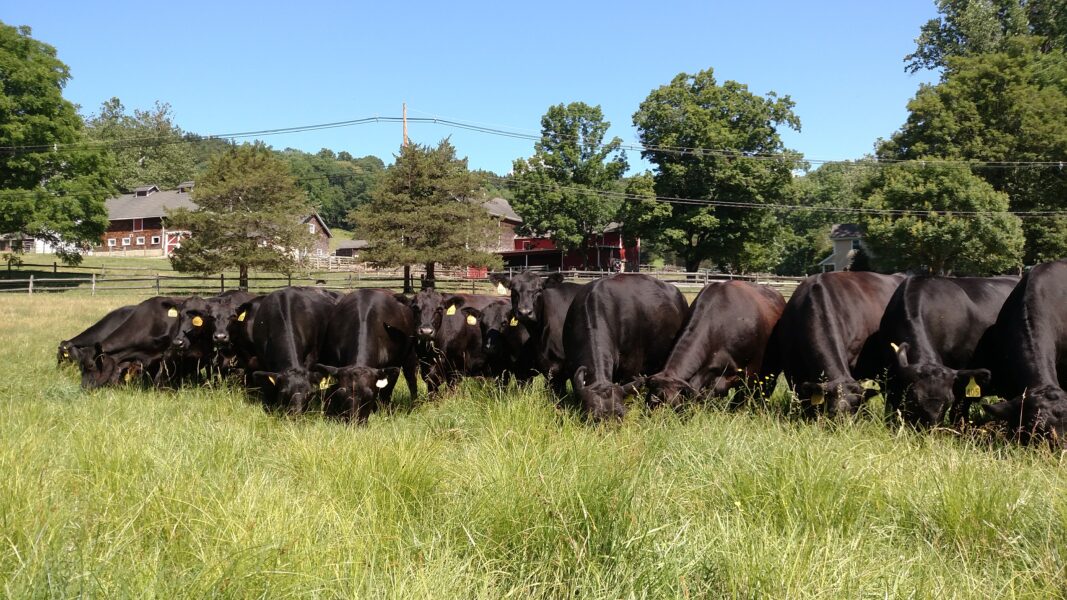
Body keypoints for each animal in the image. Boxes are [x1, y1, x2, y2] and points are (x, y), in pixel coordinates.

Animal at [313, 289, 418, 422]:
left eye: (369, 396)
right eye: (342, 394)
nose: (354, 422)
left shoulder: (392, 367)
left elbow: (386, 392)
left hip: (410, 356)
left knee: (411, 380)